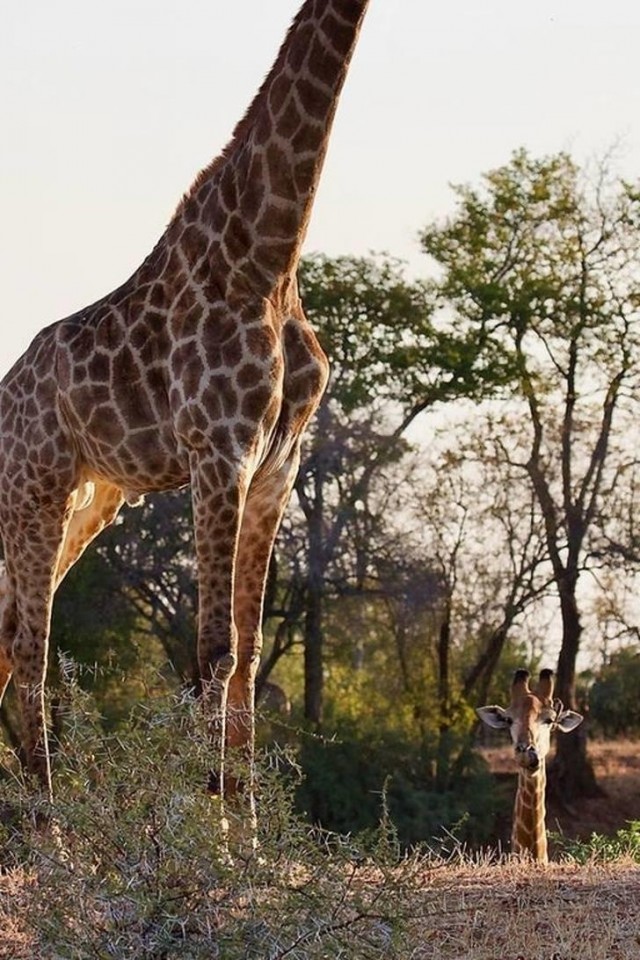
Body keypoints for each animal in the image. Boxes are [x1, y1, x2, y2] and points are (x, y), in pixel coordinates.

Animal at [0, 0, 370, 808]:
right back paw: (51, 832)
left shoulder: (277, 465)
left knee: (5, 644)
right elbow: (214, 651)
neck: (268, 256)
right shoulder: (218, 449)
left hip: (90, 503)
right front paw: (211, 827)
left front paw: (251, 831)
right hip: (34, 494)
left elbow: (250, 654)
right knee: (30, 655)